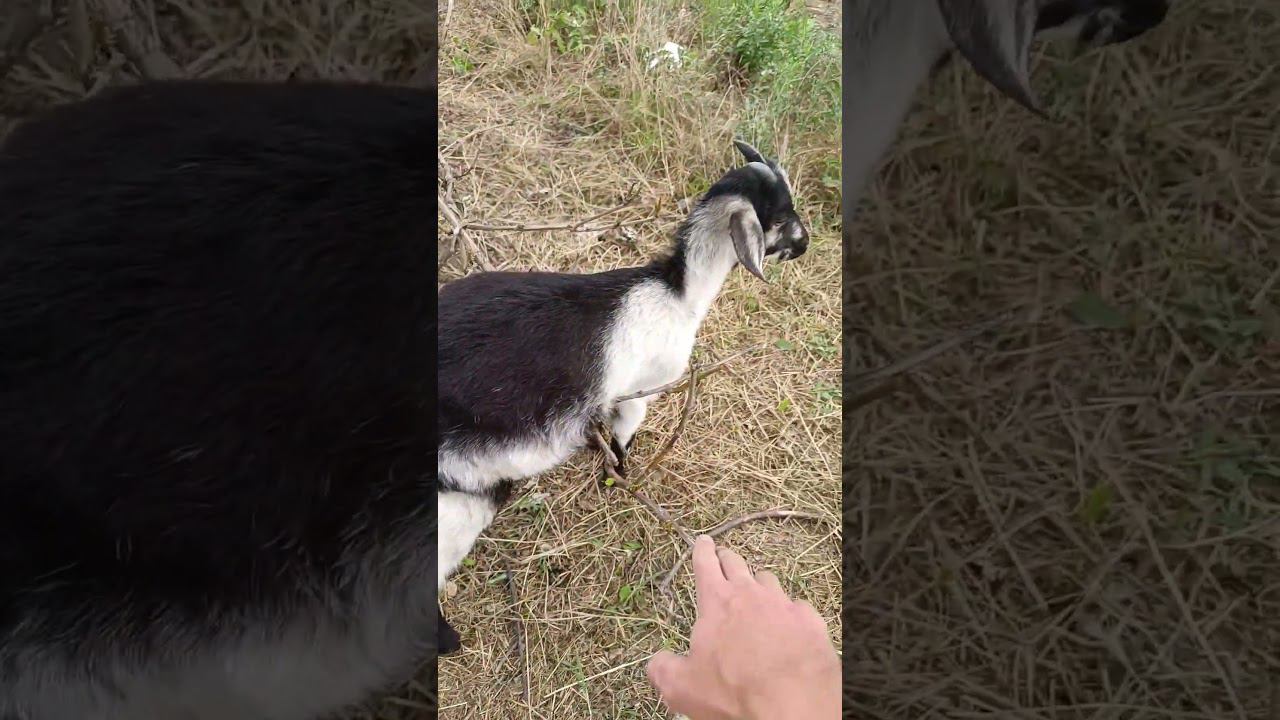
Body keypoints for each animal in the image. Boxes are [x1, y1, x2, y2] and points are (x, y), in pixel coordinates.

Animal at [436, 141, 809, 652]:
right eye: (783, 214)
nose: (805, 244)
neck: (677, 294)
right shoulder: (640, 387)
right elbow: (625, 433)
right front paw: (618, 475)